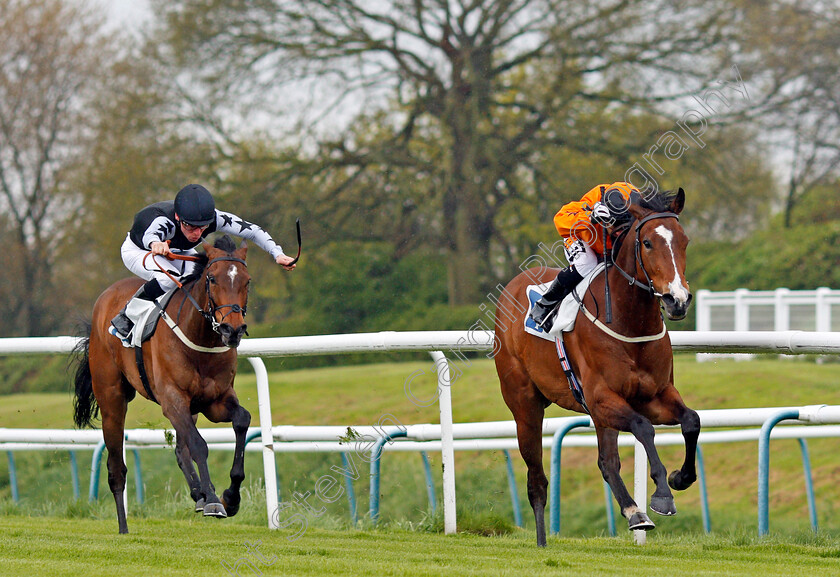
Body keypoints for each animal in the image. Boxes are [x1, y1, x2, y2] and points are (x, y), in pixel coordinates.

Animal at [72, 236, 253, 532]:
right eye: (212, 279)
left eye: (247, 281)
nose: (233, 329)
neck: (199, 338)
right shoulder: (172, 399)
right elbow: (199, 445)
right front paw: (214, 500)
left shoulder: (214, 401)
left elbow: (241, 420)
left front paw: (230, 497)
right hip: (112, 400)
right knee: (116, 468)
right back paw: (124, 527)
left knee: (180, 449)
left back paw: (198, 494)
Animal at [496, 188, 700, 544]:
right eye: (648, 243)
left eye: (684, 241)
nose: (677, 300)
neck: (630, 323)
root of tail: (512, 287)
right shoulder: (603, 397)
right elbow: (643, 428)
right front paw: (662, 494)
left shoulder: (654, 395)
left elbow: (691, 421)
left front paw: (679, 477)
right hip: (524, 405)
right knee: (537, 479)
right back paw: (541, 540)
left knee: (607, 462)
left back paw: (634, 512)